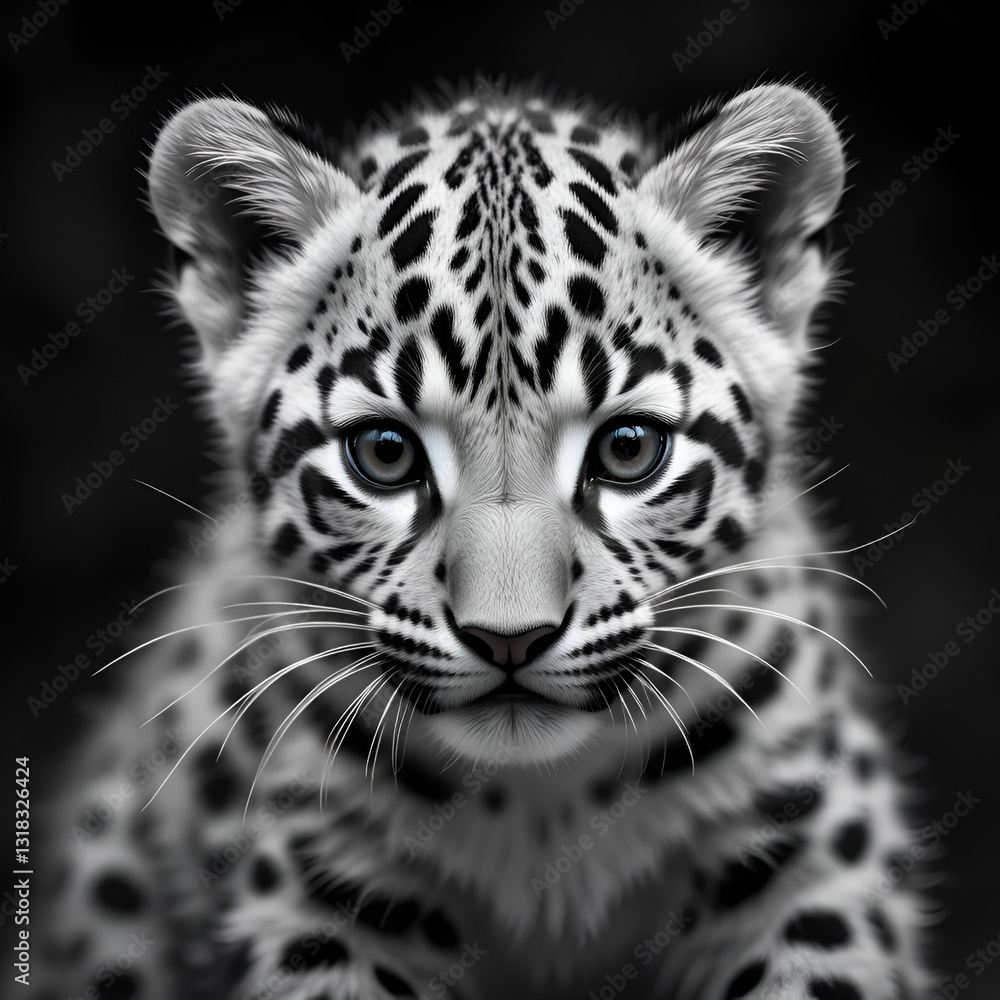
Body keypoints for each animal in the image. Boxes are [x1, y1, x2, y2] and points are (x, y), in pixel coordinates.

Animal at [39, 80, 934, 1000]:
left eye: (628, 449)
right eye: (386, 454)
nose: (511, 639)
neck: (543, 815)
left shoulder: (808, 856)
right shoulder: (317, 879)